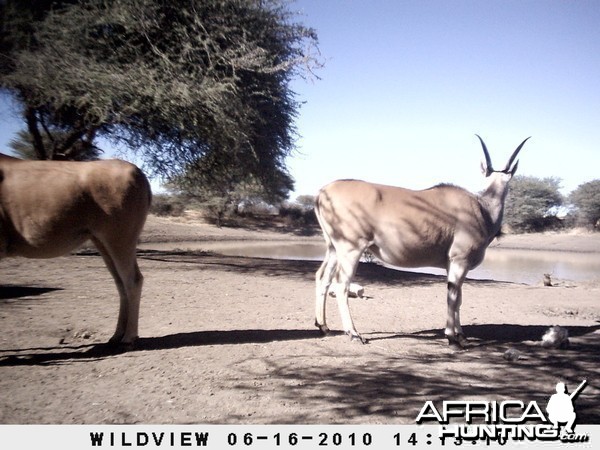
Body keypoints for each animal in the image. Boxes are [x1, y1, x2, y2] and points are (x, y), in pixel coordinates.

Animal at [1, 153, 151, 346]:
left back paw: (128, 337)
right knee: (120, 283)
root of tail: (138, 173)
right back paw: (117, 335)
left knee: (132, 280)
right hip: (102, 241)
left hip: (119, 238)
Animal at [314, 135, 528, 346]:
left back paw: (323, 326)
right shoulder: (459, 260)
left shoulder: (453, 264)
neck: (482, 207)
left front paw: (460, 334)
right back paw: (353, 333)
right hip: (351, 249)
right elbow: (453, 296)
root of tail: (322, 193)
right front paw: (452, 336)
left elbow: (458, 298)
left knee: (323, 277)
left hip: (333, 248)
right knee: (341, 284)